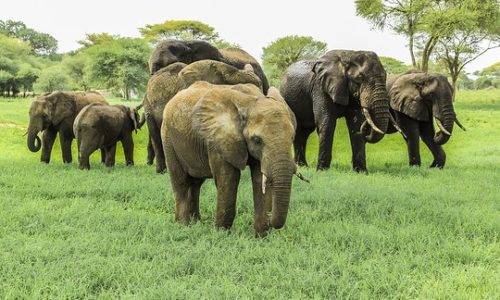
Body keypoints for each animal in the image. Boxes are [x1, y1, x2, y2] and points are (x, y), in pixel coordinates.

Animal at [160, 82, 308, 237]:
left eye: (292, 137)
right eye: (257, 140)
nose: (272, 222)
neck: (251, 101)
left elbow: (259, 179)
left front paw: (261, 236)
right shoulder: (217, 139)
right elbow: (228, 178)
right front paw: (221, 233)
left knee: (196, 183)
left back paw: (196, 223)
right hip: (168, 137)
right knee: (180, 182)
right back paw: (183, 225)